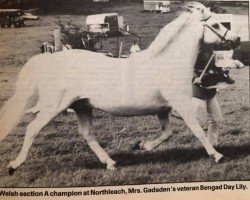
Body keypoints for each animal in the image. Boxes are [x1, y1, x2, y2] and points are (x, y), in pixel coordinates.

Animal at [0, 2, 238, 173]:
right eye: (217, 25)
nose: (236, 39)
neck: (167, 63)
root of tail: (49, 60)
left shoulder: (163, 110)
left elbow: (167, 133)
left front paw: (143, 146)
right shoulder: (181, 105)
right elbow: (197, 129)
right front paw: (216, 155)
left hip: (82, 106)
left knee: (87, 134)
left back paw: (110, 163)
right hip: (54, 106)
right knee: (32, 129)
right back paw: (14, 164)